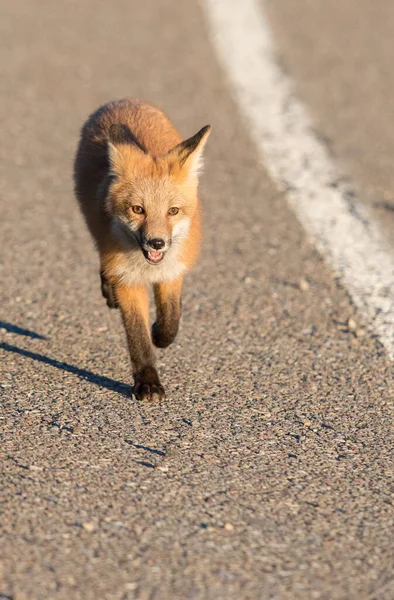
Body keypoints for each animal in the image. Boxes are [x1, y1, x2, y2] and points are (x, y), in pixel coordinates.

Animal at [72, 97, 211, 398]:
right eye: (138, 209)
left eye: (173, 211)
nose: (156, 242)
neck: (146, 267)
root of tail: (124, 101)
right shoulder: (128, 281)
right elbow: (138, 337)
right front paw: (147, 381)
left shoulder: (171, 271)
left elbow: (171, 320)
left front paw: (159, 333)